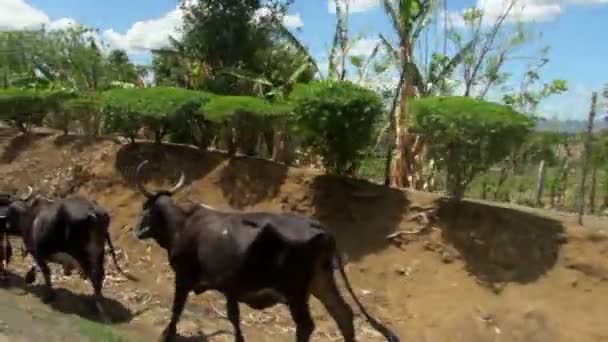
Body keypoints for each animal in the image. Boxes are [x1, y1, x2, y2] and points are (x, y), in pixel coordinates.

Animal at [5, 194, 138, 322]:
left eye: (10, 212)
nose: (5, 225)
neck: (30, 217)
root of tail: (93, 211)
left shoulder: (37, 252)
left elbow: (46, 272)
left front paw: (48, 296)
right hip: (99, 254)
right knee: (100, 276)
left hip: (81, 254)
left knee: (95, 276)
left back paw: (95, 306)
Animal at [132, 160, 400, 342]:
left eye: (146, 208)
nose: (137, 231)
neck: (183, 225)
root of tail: (317, 225)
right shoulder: (230, 288)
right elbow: (233, 317)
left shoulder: (184, 276)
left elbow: (177, 307)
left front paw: (167, 333)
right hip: (321, 281)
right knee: (343, 315)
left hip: (296, 292)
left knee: (307, 325)